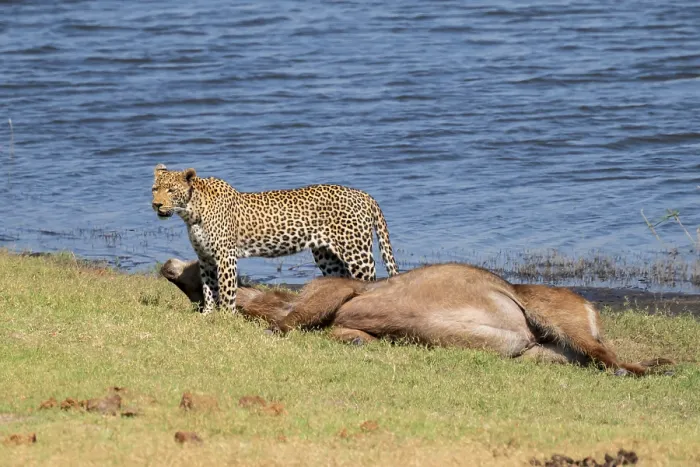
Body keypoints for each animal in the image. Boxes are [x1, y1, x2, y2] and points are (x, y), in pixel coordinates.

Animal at [150, 164, 399, 314]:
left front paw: (226, 317)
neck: (191, 211)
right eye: (155, 189)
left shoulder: (225, 256)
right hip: (326, 256)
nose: (156, 204)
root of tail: (363, 194)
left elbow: (227, 289)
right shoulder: (205, 258)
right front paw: (208, 314)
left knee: (370, 282)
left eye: (171, 190)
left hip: (357, 253)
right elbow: (209, 287)